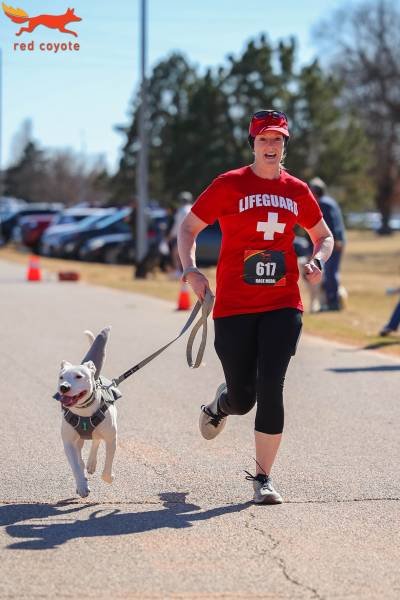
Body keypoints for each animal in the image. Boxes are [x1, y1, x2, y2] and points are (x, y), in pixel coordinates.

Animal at [54, 327, 121, 498]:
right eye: (61, 377)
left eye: (78, 376)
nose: (64, 387)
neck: (84, 410)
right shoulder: (68, 442)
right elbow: (76, 466)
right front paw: (82, 486)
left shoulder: (111, 438)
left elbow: (107, 465)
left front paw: (109, 477)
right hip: (78, 440)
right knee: (81, 453)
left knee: (96, 441)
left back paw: (91, 464)